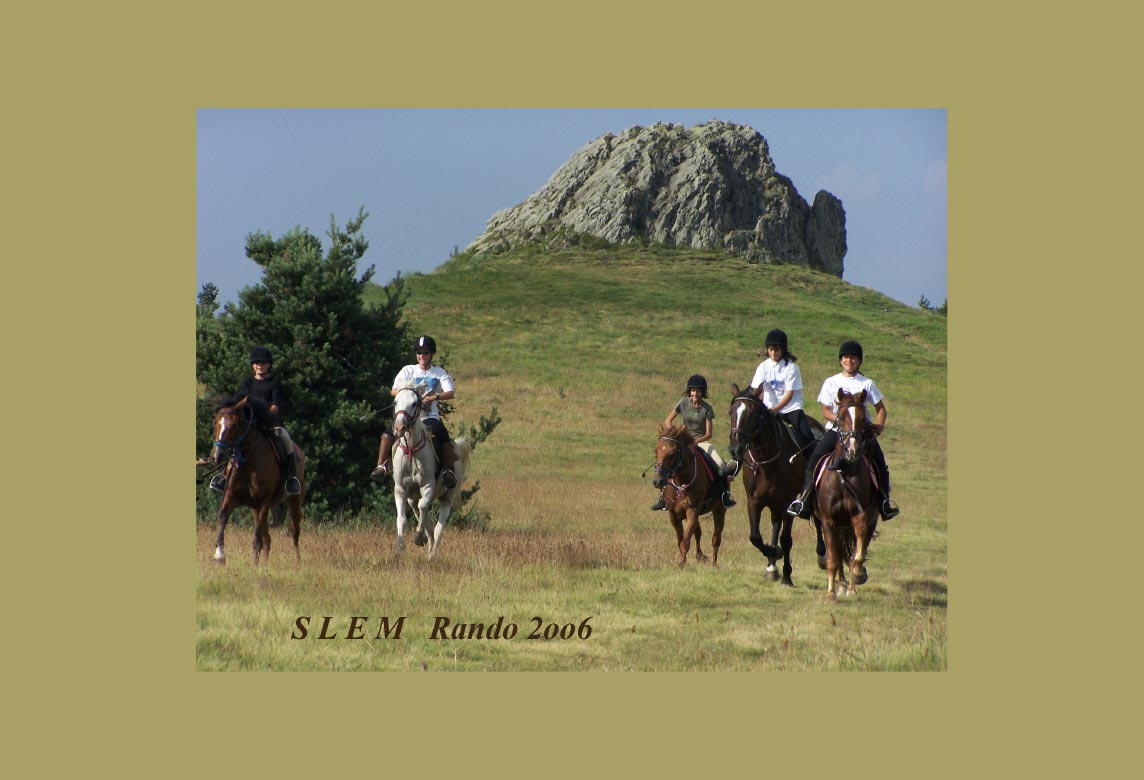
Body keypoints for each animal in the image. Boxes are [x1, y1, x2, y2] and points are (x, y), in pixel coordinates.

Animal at [204, 395, 304, 564]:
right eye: (215, 422)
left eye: (234, 425)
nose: (217, 455)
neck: (248, 462)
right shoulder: (231, 496)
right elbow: (223, 516)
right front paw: (219, 555)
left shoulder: (263, 502)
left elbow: (257, 540)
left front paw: (253, 565)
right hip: (255, 509)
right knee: (268, 539)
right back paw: (264, 565)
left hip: (293, 500)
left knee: (294, 531)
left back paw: (297, 562)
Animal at [388, 384, 469, 558]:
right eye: (395, 402)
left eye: (414, 403)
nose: (399, 427)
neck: (412, 450)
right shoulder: (401, 490)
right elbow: (402, 519)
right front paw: (398, 550)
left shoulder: (427, 487)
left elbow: (424, 506)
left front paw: (418, 537)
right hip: (412, 497)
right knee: (424, 517)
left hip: (447, 496)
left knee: (439, 528)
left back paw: (432, 556)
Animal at [649, 418, 727, 564]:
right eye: (656, 451)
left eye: (672, 453)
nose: (657, 481)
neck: (681, 480)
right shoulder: (674, 514)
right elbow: (681, 540)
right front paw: (683, 561)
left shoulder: (692, 510)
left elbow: (685, 541)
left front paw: (682, 564)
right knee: (698, 533)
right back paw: (700, 556)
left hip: (719, 510)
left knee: (716, 539)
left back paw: (714, 563)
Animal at [727, 381, 828, 583]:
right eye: (731, 412)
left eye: (751, 414)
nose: (735, 449)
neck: (767, 459)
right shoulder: (754, 501)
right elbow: (755, 537)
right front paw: (773, 554)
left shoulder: (788, 503)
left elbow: (786, 540)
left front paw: (787, 575)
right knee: (775, 524)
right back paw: (771, 565)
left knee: (816, 517)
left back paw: (822, 555)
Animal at [809, 386, 878, 594]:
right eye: (840, 418)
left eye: (863, 418)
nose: (852, 450)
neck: (845, 471)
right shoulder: (828, 521)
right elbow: (833, 559)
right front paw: (831, 593)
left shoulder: (861, 516)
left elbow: (857, 554)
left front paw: (858, 574)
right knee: (839, 553)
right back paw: (840, 585)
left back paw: (852, 586)